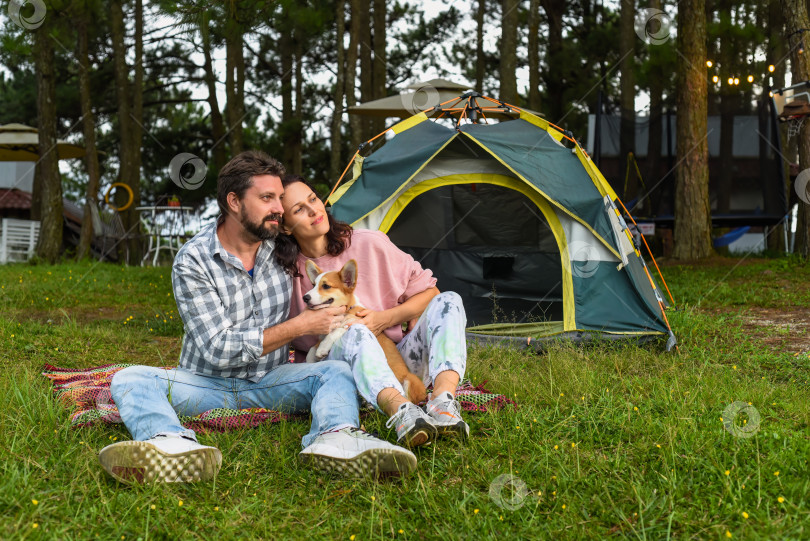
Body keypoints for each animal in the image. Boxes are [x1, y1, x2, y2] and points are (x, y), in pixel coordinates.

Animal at [304, 260, 430, 402]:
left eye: (326, 286)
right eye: (313, 285)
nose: (305, 297)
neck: (346, 309)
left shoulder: (354, 322)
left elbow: (335, 332)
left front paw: (322, 348)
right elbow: (312, 348)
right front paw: (310, 361)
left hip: (410, 380)